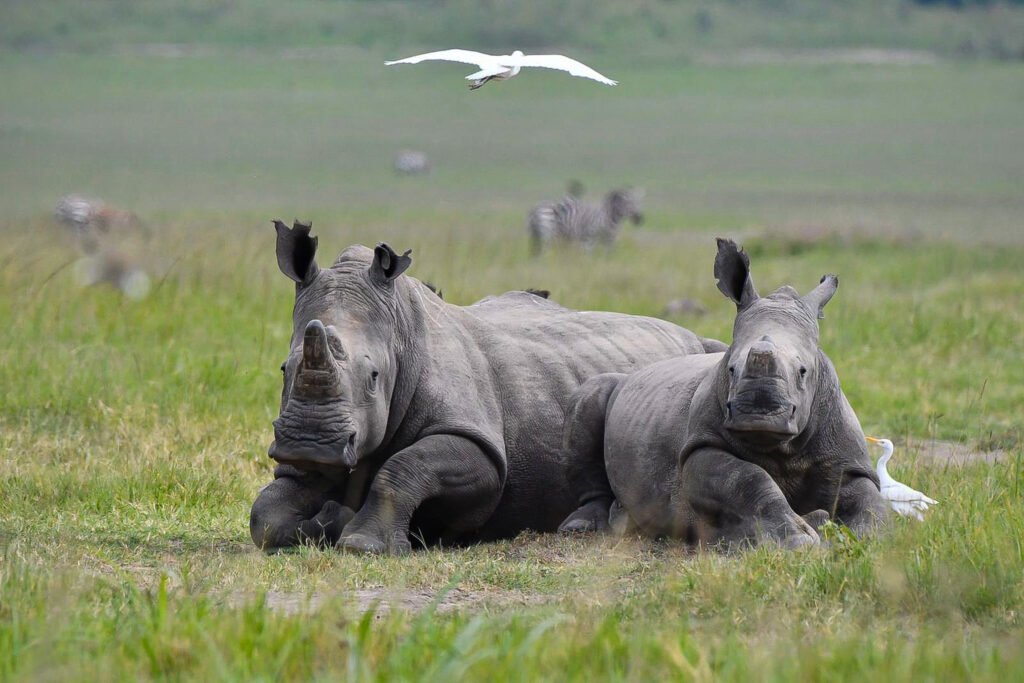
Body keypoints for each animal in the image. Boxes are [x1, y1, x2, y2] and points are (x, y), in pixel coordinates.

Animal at [249, 220, 726, 554]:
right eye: (283, 369)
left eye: (373, 377)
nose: (309, 444)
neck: (402, 332)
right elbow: (265, 514)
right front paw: (329, 518)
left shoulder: (480, 446)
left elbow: (405, 467)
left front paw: (360, 542)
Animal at [557, 239, 889, 548]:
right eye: (730, 368)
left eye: (803, 371)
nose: (759, 414)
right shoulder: (700, 446)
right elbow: (746, 479)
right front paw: (798, 541)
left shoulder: (847, 461)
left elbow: (868, 499)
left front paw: (866, 538)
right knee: (591, 397)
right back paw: (583, 527)